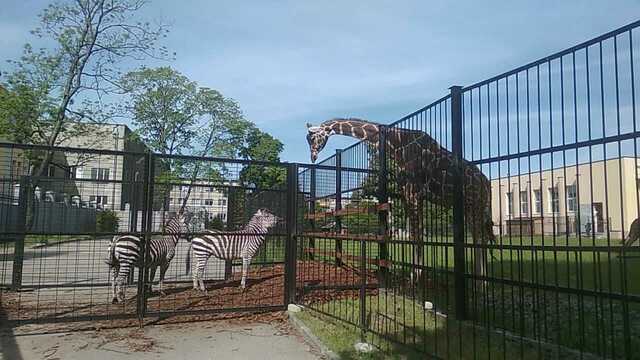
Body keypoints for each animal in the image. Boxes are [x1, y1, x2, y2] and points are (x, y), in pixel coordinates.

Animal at [308, 118, 498, 282]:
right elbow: (413, 232)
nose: (313, 157)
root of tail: (487, 183)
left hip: (474, 204)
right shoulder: (406, 193)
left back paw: (482, 282)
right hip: (471, 207)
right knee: (480, 237)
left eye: (311, 138)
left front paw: (415, 276)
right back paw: (480, 279)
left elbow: (416, 234)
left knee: (480, 238)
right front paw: (414, 274)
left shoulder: (412, 191)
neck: (396, 144)